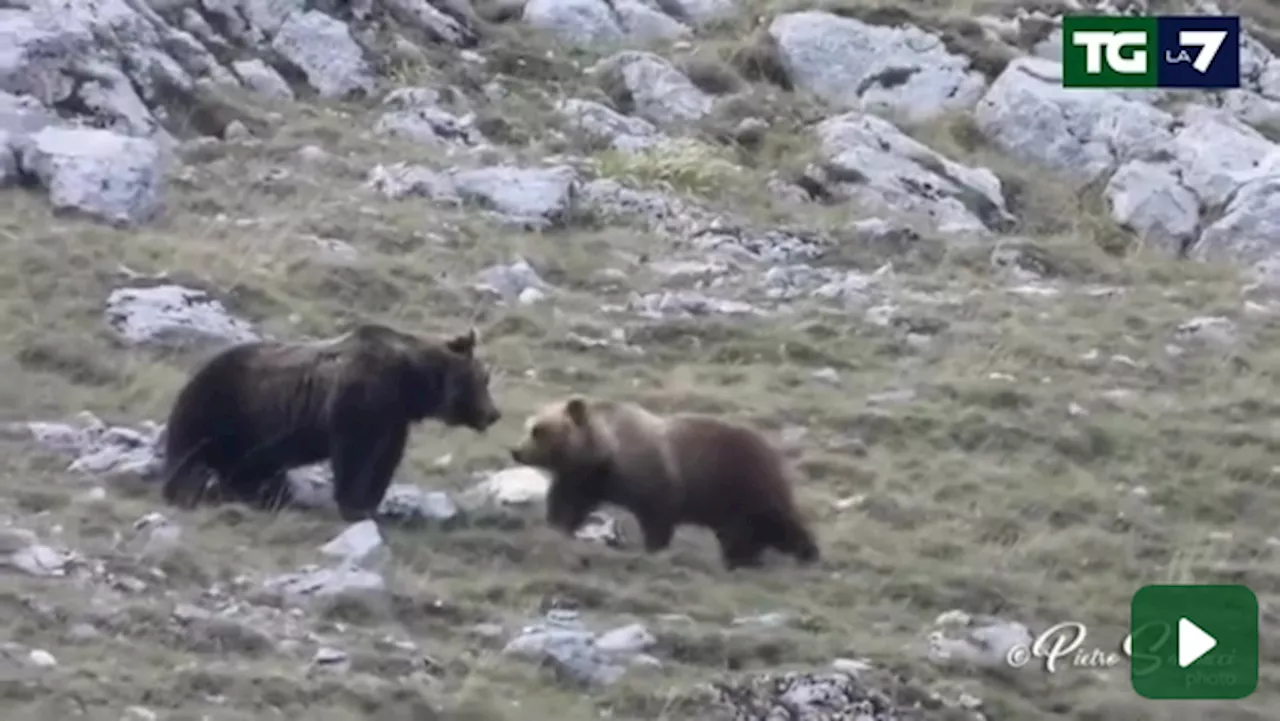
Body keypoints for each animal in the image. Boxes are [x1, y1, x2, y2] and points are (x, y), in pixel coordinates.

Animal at [158, 324, 499, 522]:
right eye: (483, 378)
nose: (494, 413)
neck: (409, 381)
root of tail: (199, 369)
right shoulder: (359, 403)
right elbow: (355, 456)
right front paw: (352, 505)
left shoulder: (392, 420)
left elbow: (384, 461)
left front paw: (369, 505)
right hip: (218, 407)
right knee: (187, 453)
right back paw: (186, 490)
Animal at [509, 394, 819, 571]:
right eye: (529, 425)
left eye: (538, 430)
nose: (516, 451)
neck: (606, 454)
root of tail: (773, 450)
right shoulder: (582, 480)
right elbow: (565, 506)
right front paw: (556, 527)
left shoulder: (653, 480)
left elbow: (657, 518)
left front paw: (653, 550)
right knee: (748, 534)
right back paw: (745, 560)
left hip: (745, 483)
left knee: (779, 522)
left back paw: (807, 555)